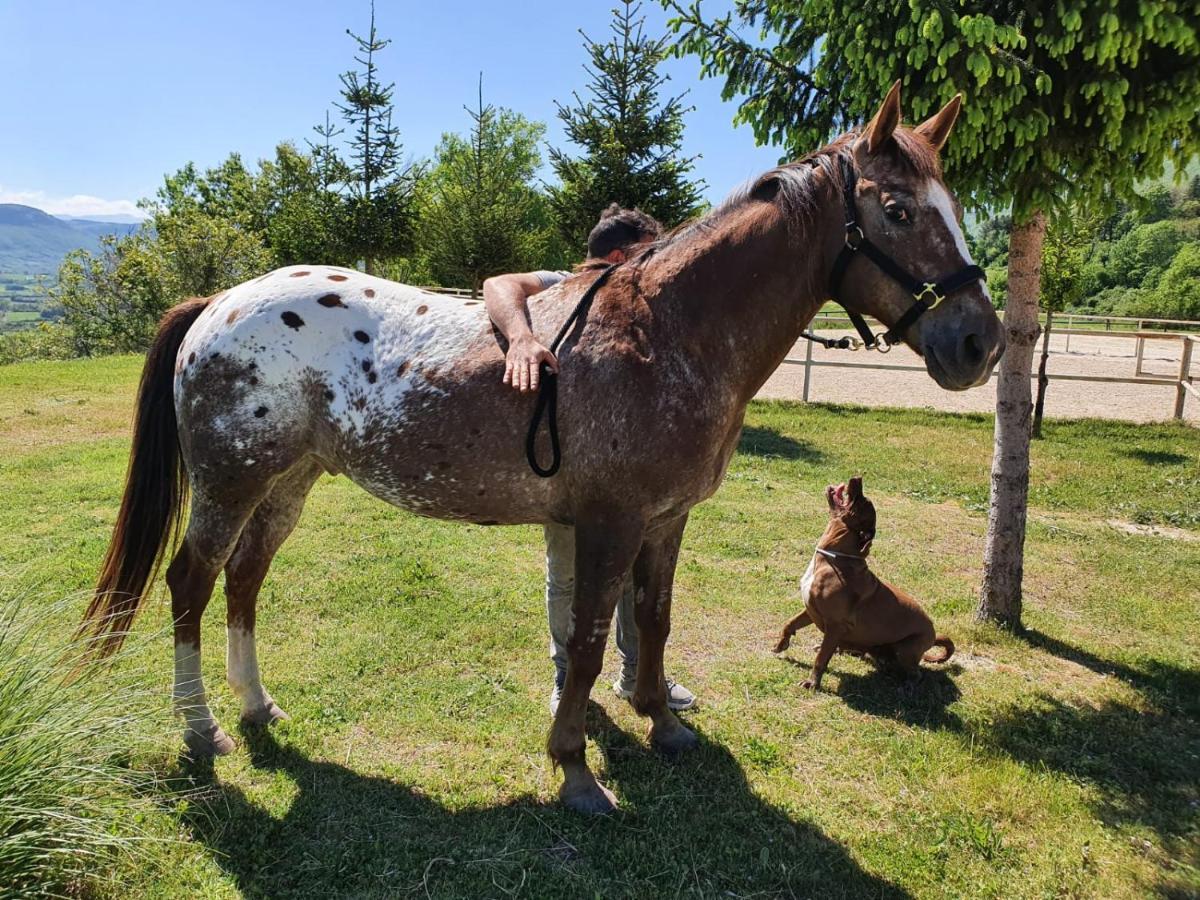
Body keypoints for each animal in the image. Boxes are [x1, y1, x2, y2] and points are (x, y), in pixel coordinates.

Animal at [772, 480, 950, 691]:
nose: (858, 478)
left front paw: (813, 682)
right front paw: (781, 644)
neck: (834, 558)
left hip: (905, 648)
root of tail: (934, 634)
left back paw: (906, 684)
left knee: (916, 673)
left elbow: (821, 658)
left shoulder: (835, 624)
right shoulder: (811, 608)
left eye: (863, 502)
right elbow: (789, 623)